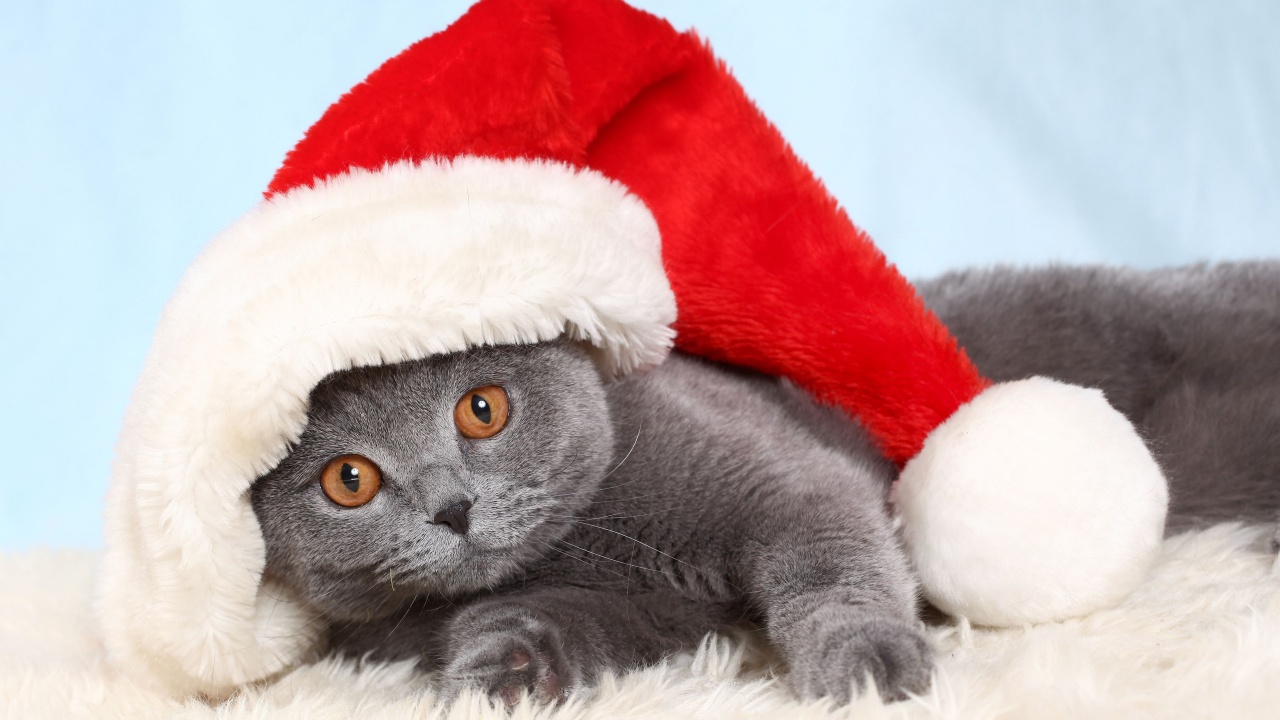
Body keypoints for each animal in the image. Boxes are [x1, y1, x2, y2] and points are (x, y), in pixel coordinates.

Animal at [249, 260, 1280, 702]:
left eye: (482, 409)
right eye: (349, 480)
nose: (452, 507)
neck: (588, 541)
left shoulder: (782, 478)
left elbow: (830, 558)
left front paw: (867, 664)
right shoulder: (655, 615)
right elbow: (553, 622)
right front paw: (501, 669)